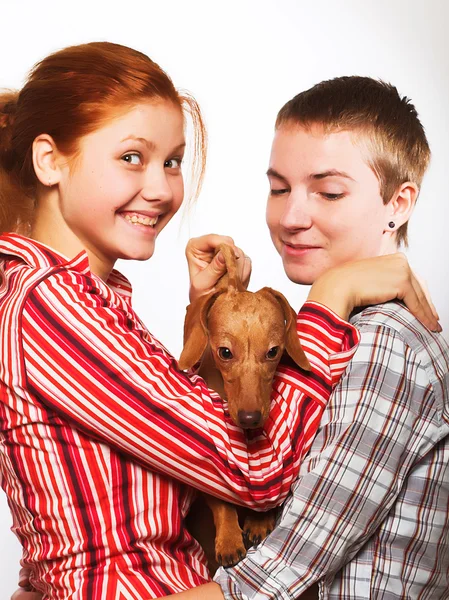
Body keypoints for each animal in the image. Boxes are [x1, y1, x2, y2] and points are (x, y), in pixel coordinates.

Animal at [177, 245, 310, 572]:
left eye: (273, 351)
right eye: (225, 352)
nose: (250, 418)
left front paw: (259, 520)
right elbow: (223, 503)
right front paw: (229, 539)